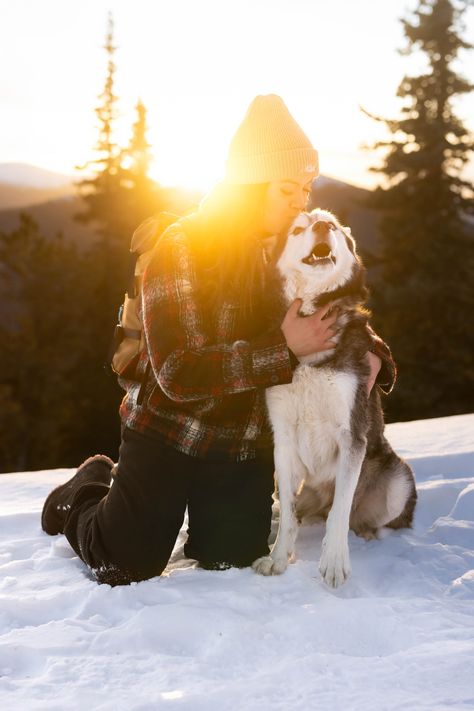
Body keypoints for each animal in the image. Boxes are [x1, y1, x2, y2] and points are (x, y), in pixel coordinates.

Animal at [254, 209, 416, 588]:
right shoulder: (283, 438)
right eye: (298, 228)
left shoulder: (351, 434)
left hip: (398, 482)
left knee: (357, 516)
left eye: (336, 227)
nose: (323, 226)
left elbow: (340, 510)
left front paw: (334, 563)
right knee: (297, 511)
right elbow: (288, 516)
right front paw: (278, 559)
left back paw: (364, 534)